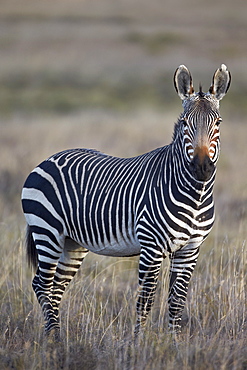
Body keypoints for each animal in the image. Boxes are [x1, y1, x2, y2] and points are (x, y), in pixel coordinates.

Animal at [21, 65, 230, 340]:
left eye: (218, 123)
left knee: (55, 288)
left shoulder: (190, 250)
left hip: (72, 242)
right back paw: (53, 338)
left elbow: (177, 301)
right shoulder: (151, 247)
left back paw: (56, 335)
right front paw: (138, 343)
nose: (202, 168)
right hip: (47, 232)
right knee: (42, 284)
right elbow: (146, 299)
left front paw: (174, 343)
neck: (196, 195)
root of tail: (48, 159)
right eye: (185, 123)